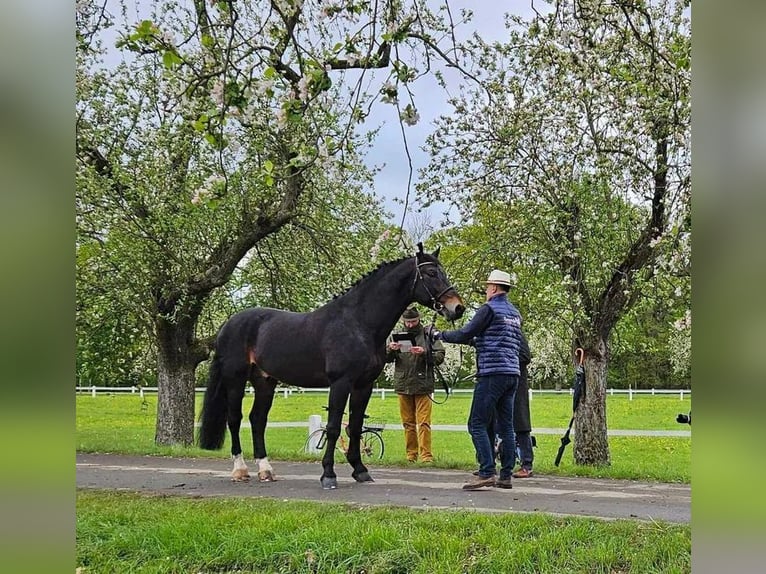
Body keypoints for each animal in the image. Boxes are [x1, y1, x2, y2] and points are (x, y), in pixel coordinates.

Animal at [198, 244, 464, 490]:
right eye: (431, 273)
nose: (457, 307)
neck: (357, 323)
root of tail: (228, 325)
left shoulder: (363, 386)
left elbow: (355, 427)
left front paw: (360, 471)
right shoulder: (340, 383)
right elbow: (334, 428)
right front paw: (328, 475)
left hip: (265, 381)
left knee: (258, 419)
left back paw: (266, 470)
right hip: (235, 379)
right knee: (235, 419)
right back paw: (240, 470)